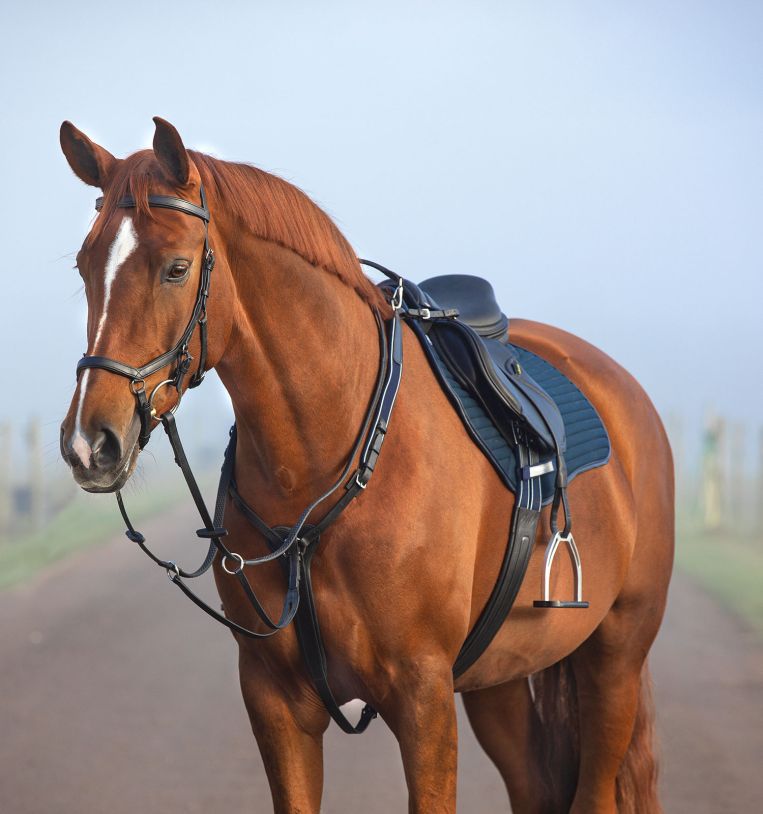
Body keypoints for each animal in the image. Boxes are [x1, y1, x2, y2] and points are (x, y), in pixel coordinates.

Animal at [59, 117, 673, 814]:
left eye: (176, 267)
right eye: (84, 266)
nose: (89, 442)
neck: (318, 474)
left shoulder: (424, 700)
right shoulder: (274, 701)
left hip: (615, 659)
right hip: (501, 681)